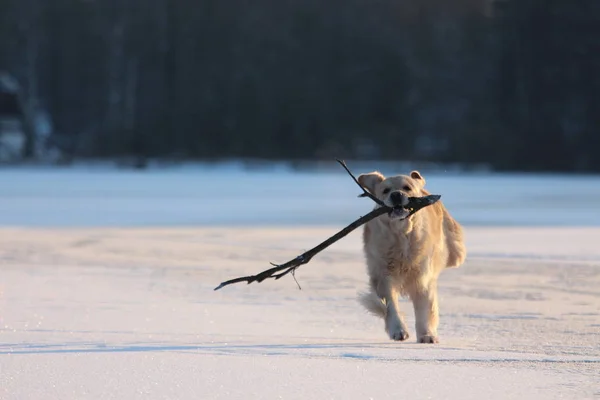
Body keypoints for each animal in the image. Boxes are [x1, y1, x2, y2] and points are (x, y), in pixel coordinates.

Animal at [356, 170, 464, 344]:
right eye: (385, 190)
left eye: (407, 187)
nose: (396, 194)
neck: (401, 234)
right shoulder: (383, 276)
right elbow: (390, 306)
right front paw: (398, 330)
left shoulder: (422, 277)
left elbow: (424, 309)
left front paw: (427, 334)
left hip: (455, 251)